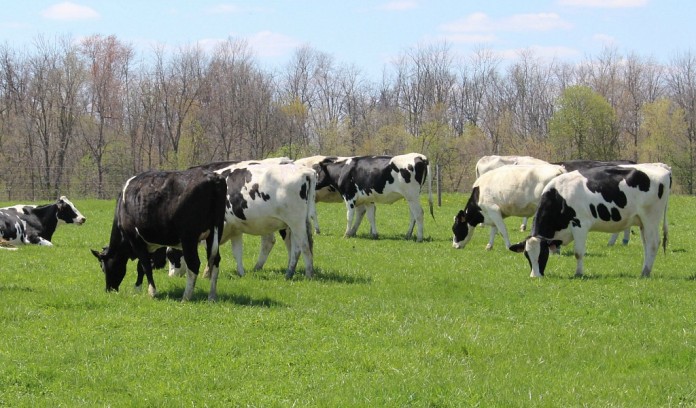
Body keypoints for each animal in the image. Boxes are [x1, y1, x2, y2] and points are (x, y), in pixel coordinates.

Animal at [91, 168, 227, 301]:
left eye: (103, 268)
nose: (109, 289)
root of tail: (213, 177)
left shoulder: (136, 240)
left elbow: (146, 266)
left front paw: (151, 292)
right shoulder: (149, 244)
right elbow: (141, 267)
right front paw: (137, 289)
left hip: (189, 238)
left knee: (194, 263)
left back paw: (186, 297)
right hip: (215, 233)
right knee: (215, 261)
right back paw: (211, 296)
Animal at [509, 163, 671, 278]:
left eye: (543, 254)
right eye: (526, 255)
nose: (535, 276)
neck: (560, 196)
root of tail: (662, 169)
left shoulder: (579, 225)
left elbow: (578, 252)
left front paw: (579, 273)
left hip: (651, 218)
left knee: (653, 243)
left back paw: (645, 273)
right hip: (642, 221)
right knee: (646, 245)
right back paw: (645, 270)